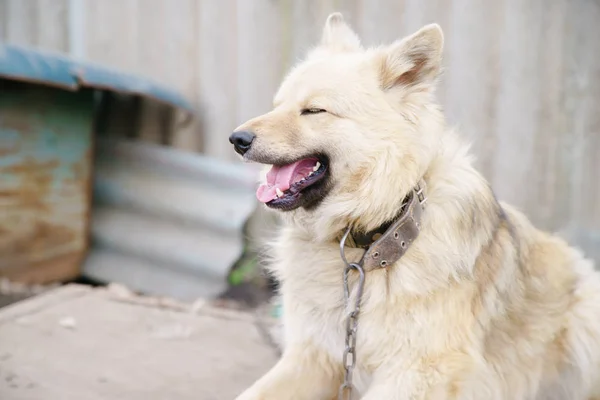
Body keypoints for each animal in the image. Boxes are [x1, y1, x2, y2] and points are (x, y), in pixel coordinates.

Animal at [227, 12, 600, 400]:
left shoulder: (417, 371)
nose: (237, 139)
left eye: (314, 110)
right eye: (277, 105)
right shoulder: (315, 355)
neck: (374, 238)